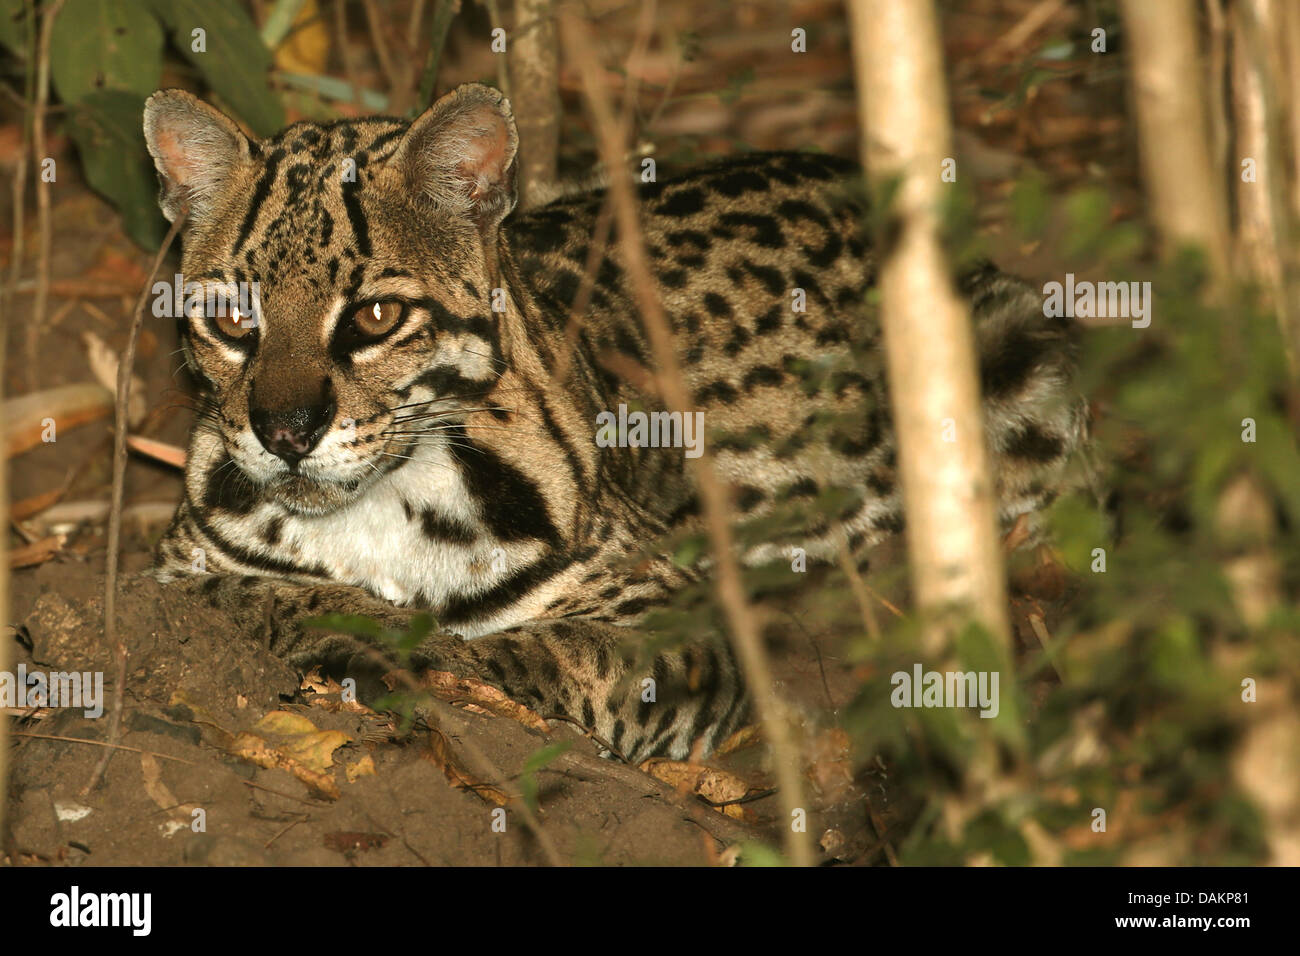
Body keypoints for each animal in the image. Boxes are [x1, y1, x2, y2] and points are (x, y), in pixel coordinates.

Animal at [139, 85, 1086, 764]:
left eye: (375, 317)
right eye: (232, 318)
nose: (284, 430)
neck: (384, 501)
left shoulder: (675, 610)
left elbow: (560, 650)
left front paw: (416, 650)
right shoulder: (179, 566)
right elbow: (248, 589)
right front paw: (337, 617)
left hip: (1013, 351)